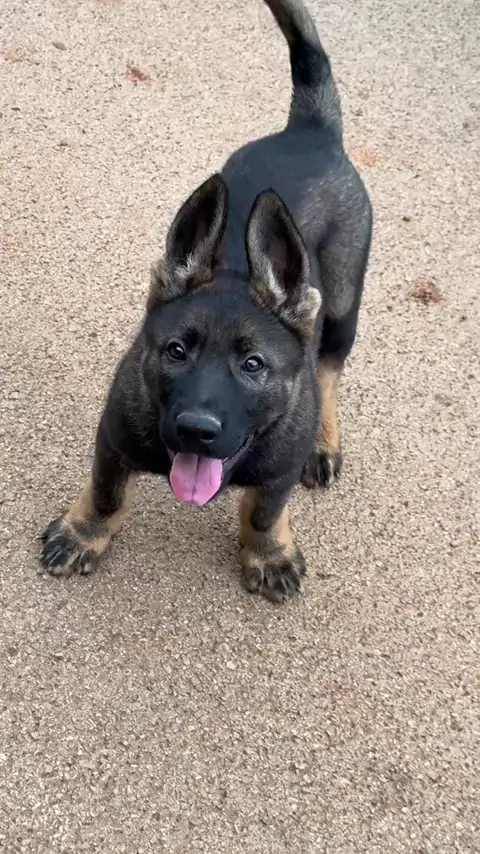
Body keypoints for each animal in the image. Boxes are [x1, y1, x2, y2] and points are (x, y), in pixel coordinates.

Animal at [40, 0, 372, 602]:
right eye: (176, 352)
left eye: (254, 364)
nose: (196, 429)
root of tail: (311, 131)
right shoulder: (113, 435)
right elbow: (105, 491)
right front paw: (84, 534)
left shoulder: (277, 468)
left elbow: (265, 510)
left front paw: (269, 553)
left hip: (342, 305)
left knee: (330, 366)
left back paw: (324, 442)